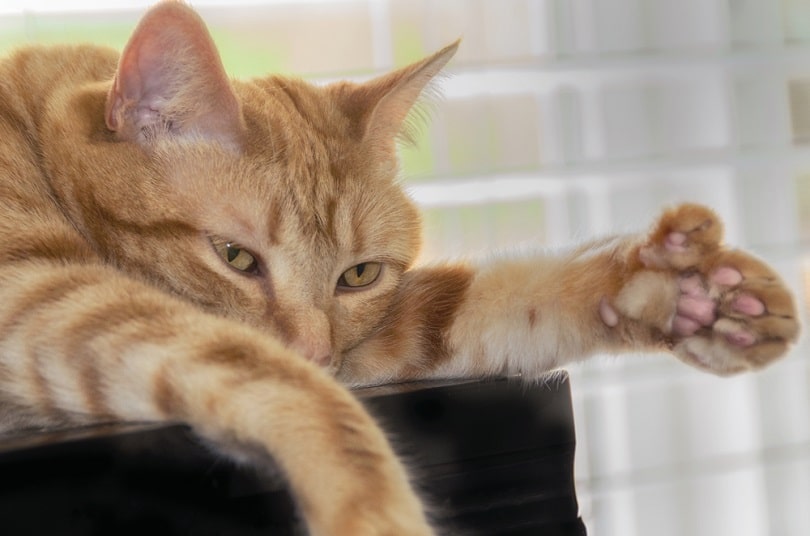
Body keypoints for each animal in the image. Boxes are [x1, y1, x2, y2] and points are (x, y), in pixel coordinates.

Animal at [0, 2, 796, 532]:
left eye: (358, 276)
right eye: (235, 257)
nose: (317, 350)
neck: (33, 141)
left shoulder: (371, 342)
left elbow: (496, 300)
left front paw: (674, 294)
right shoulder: (41, 297)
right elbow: (296, 390)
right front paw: (376, 513)